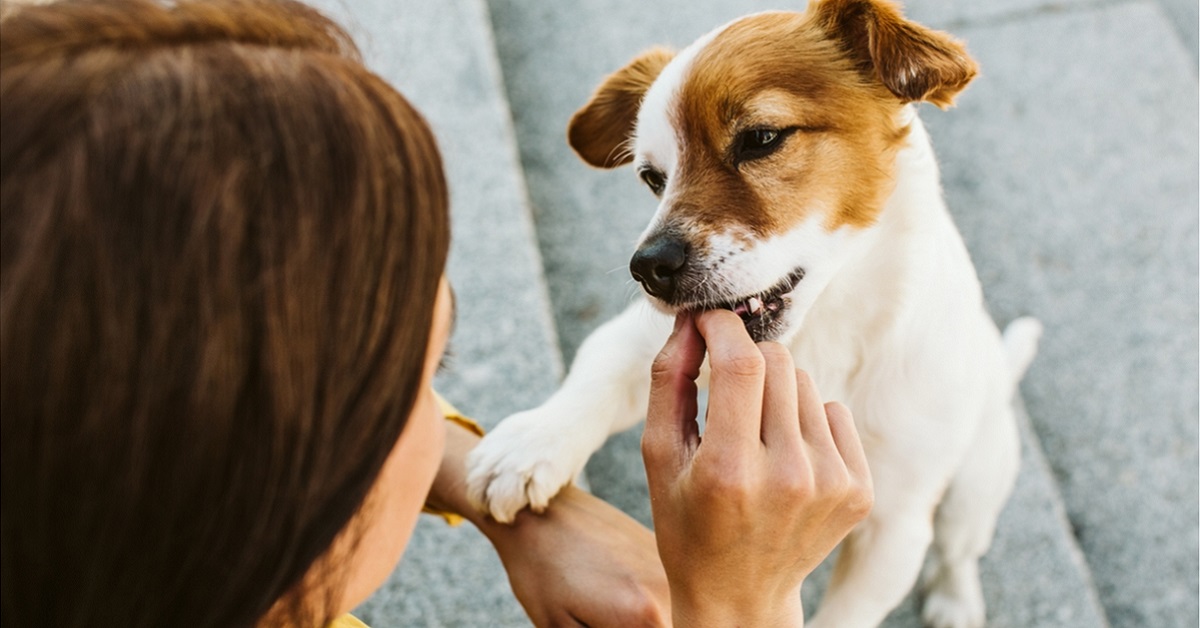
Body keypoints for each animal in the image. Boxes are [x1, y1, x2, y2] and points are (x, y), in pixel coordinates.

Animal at [465, 2, 1041, 624]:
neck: (821, 329)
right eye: (652, 178)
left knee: (959, 550)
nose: (648, 267)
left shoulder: (894, 529)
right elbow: (597, 375)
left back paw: (956, 601)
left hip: (974, 486)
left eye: (761, 139)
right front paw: (530, 446)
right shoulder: (640, 341)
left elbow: (849, 611)